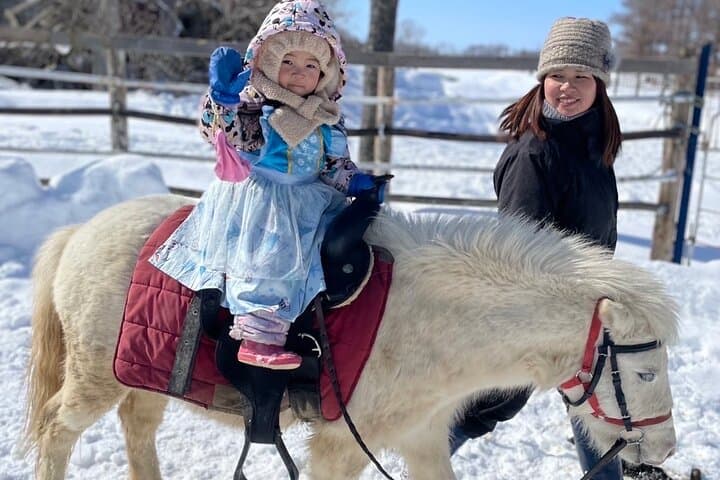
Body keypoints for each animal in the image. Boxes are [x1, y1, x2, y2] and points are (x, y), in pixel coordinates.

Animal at [22, 193, 678, 480]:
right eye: (645, 372)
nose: (667, 449)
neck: (428, 325)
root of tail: (81, 231)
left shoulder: (422, 440)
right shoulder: (340, 445)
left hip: (142, 376)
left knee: (137, 429)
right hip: (93, 377)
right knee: (57, 430)